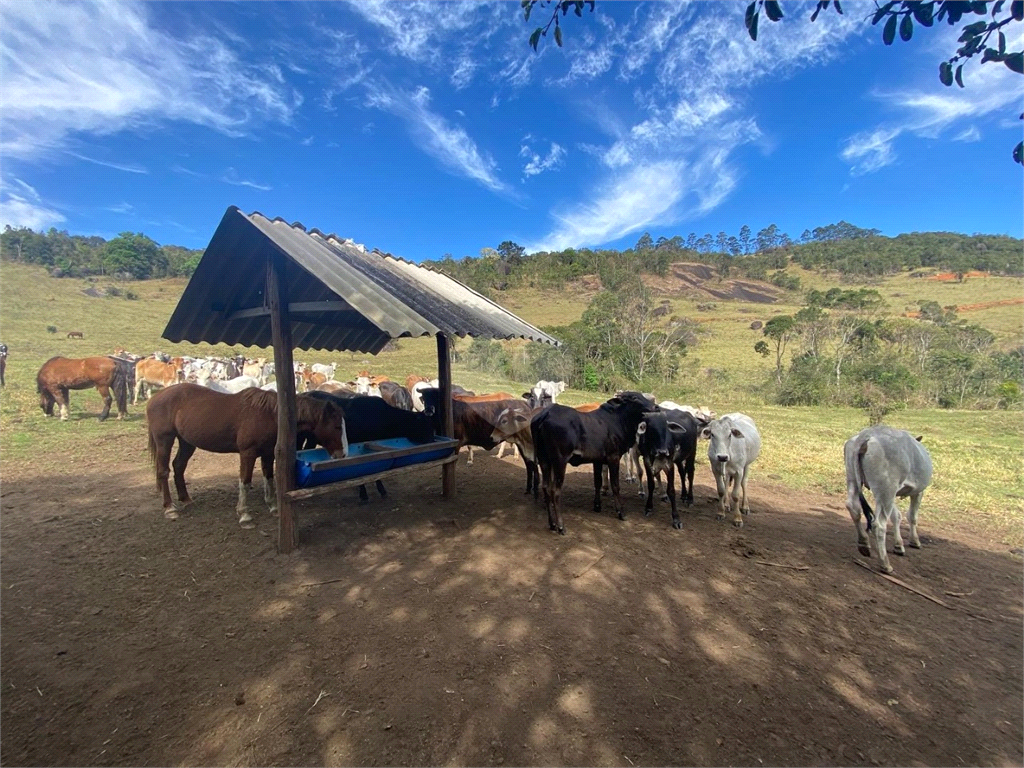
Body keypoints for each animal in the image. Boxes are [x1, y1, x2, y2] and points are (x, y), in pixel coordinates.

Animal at [146, 385, 350, 528]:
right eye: (336, 427)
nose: (343, 454)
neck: (269, 414)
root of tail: (155, 397)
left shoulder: (267, 453)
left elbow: (269, 478)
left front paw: (273, 507)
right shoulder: (247, 453)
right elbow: (245, 481)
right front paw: (244, 515)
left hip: (187, 442)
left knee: (178, 466)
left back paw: (185, 499)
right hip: (165, 440)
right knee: (163, 471)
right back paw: (170, 508)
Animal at [532, 391, 651, 536]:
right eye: (634, 398)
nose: (655, 407)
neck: (618, 420)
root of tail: (545, 414)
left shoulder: (597, 460)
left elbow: (597, 482)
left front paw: (597, 505)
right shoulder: (613, 458)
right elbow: (615, 486)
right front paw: (620, 512)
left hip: (544, 460)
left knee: (545, 487)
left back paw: (552, 523)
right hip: (559, 461)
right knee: (555, 490)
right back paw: (560, 526)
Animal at [843, 423, 933, 573]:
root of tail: (866, 436)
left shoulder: (893, 493)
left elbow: (896, 516)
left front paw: (898, 545)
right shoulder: (918, 491)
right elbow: (912, 516)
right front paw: (914, 541)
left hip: (855, 479)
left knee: (853, 507)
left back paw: (864, 542)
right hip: (886, 487)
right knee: (879, 525)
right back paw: (885, 564)